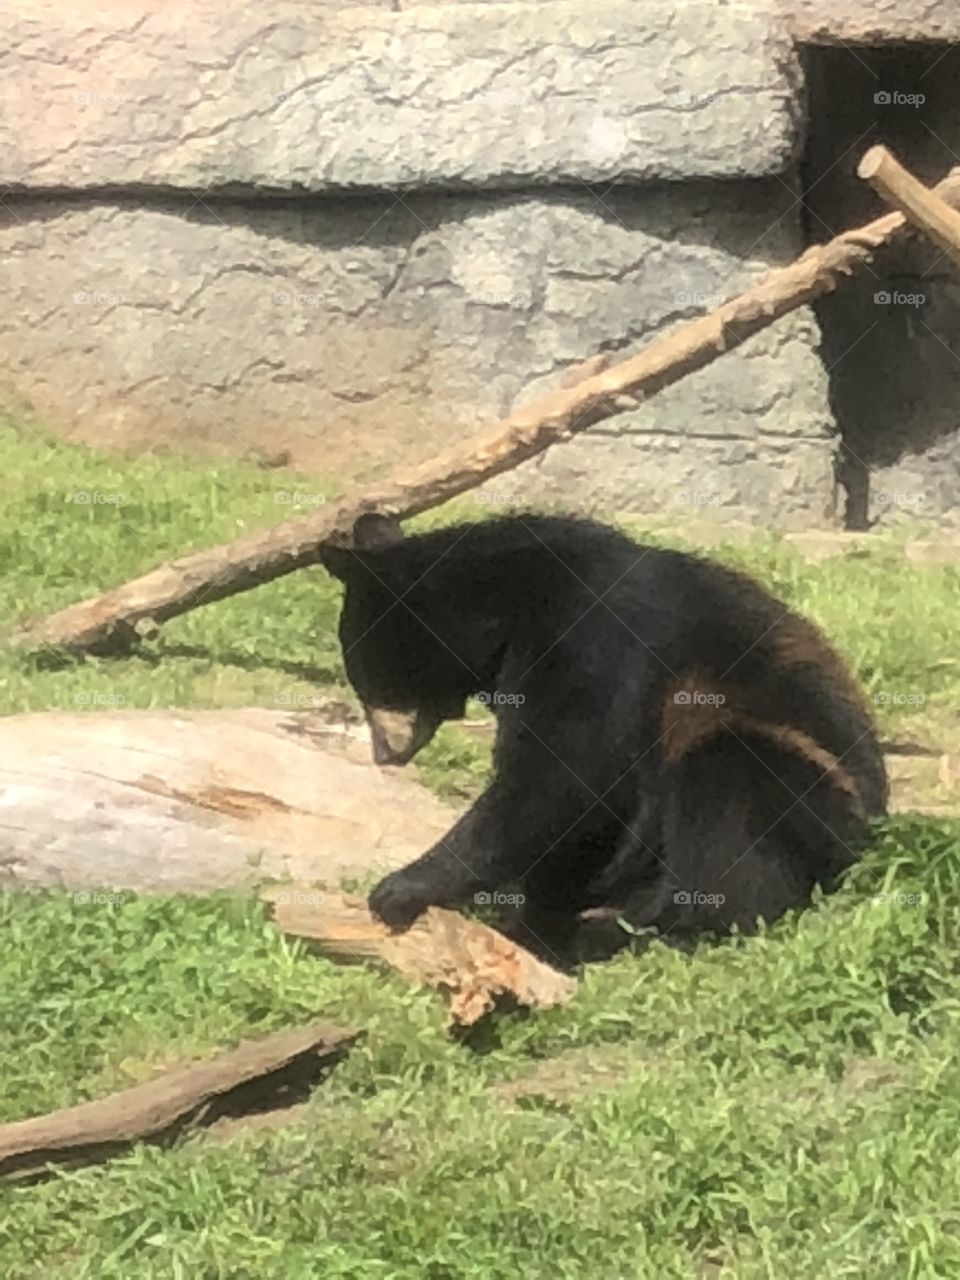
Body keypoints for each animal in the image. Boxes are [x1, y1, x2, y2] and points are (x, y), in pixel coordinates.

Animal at [321, 511, 887, 962]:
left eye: (368, 682)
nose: (385, 753)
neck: (508, 605)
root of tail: (867, 841)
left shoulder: (593, 635)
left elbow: (562, 777)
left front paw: (398, 891)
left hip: (803, 781)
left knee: (726, 793)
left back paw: (647, 926)